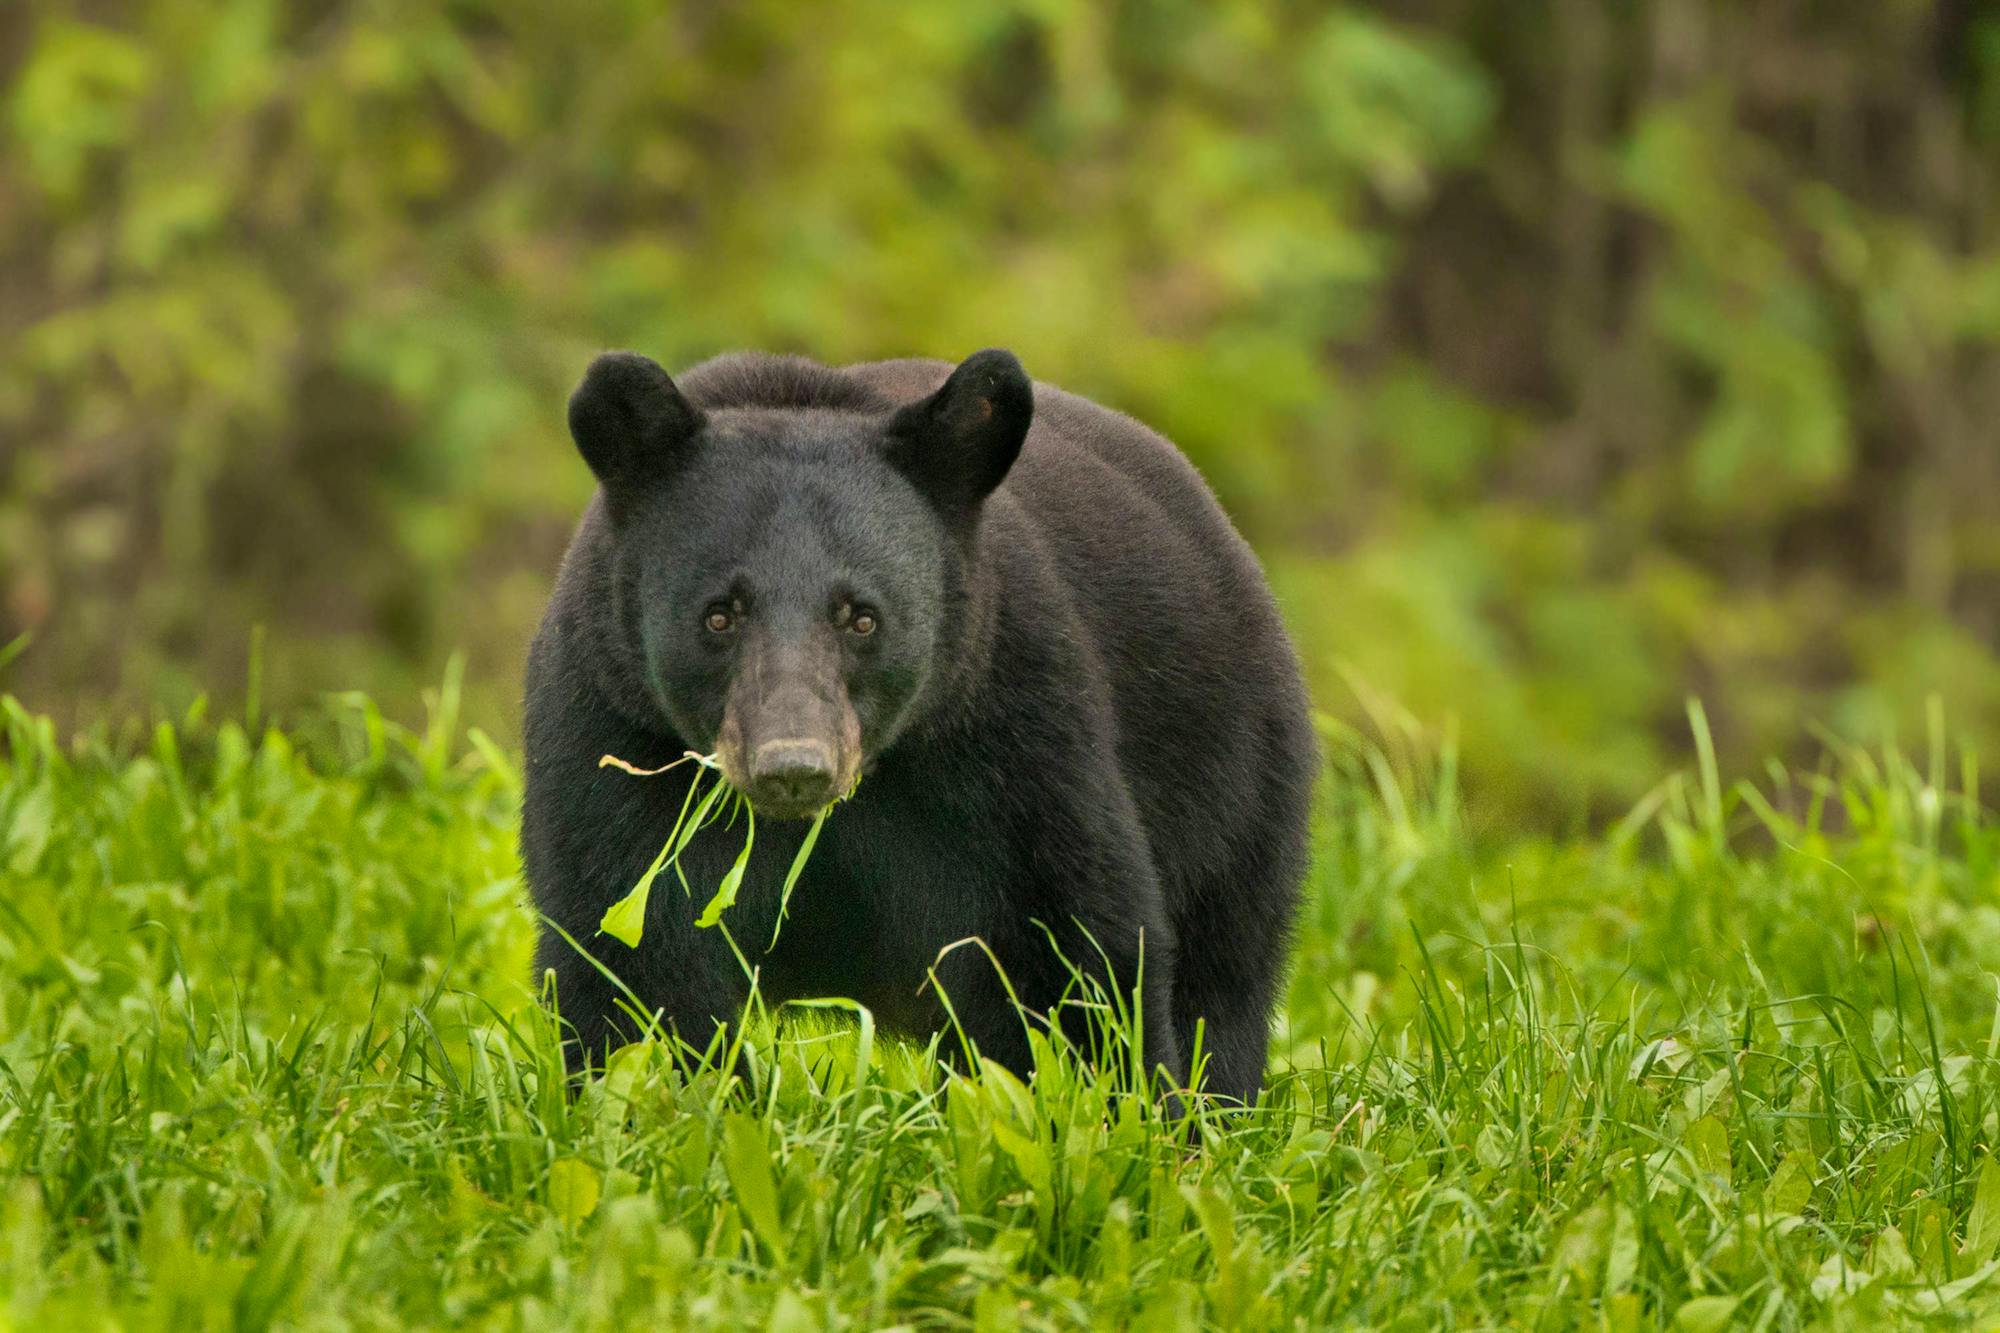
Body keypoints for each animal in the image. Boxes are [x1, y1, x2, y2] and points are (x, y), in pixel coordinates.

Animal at [524, 342, 1320, 1096]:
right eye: (719, 614)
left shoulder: (1012, 736)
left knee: (1225, 980)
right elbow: (634, 959)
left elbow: (1070, 951)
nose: (793, 767)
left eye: (862, 616)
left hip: (1235, 780)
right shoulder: (614, 736)